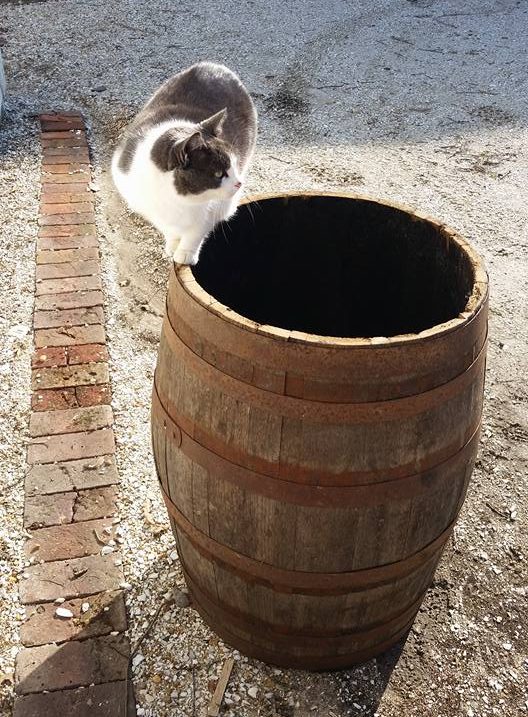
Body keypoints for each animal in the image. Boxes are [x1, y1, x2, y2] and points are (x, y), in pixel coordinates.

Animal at [112, 63, 258, 264]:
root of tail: (213, 64)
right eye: (218, 174)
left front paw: (185, 254)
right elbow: (167, 228)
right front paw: (172, 244)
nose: (239, 183)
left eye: (234, 165)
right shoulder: (144, 205)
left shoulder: (212, 210)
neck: (176, 201)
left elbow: (196, 231)